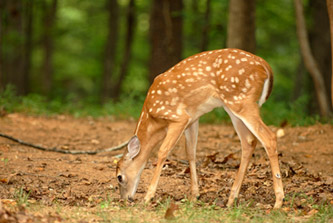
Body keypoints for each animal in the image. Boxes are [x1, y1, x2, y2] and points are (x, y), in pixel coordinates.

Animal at [115, 48, 284, 208]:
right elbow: (191, 152)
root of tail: (265, 66)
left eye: (119, 177)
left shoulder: (178, 117)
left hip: (241, 101)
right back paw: (231, 199)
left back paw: (278, 201)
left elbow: (163, 151)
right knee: (249, 141)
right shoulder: (192, 119)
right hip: (233, 107)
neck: (153, 119)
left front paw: (148, 197)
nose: (125, 199)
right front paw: (194, 196)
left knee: (269, 137)